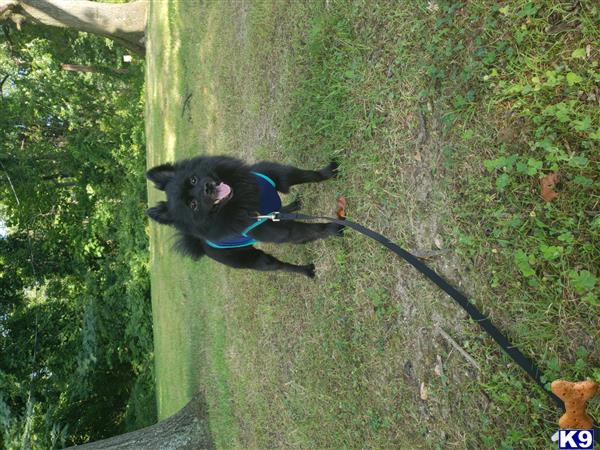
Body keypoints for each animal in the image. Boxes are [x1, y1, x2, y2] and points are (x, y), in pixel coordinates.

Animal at [144, 158, 342, 278]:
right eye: (193, 205)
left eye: (193, 180)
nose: (207, 188)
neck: (240, 199)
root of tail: (201, 243)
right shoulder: (280, 230)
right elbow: (313, 229)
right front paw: (335, 227)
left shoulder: (276, 175)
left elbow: (309, 175)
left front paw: (330, 171)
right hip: (256, 260)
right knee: (279, 265)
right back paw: (304, 270)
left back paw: (291, 207)